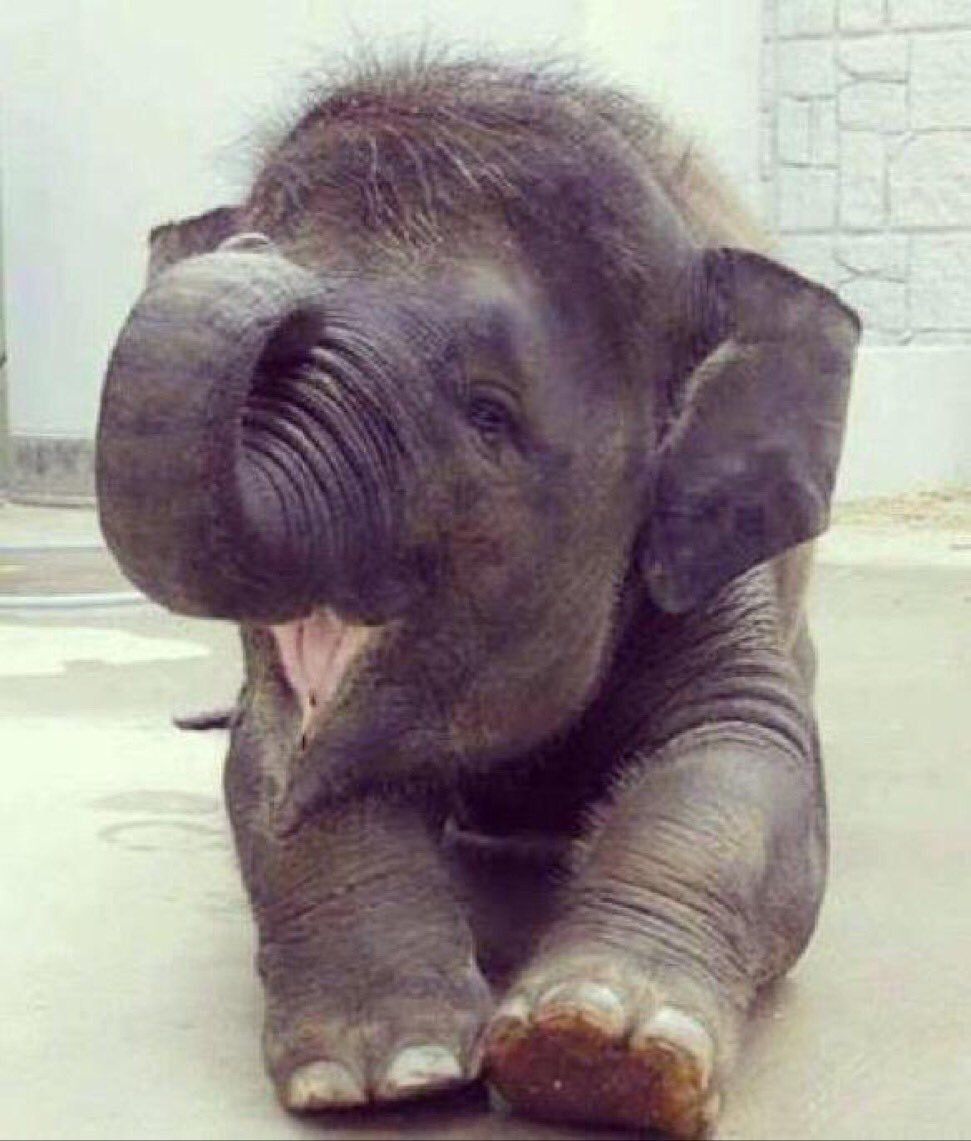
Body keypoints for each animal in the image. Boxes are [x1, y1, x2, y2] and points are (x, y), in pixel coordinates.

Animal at [96, 57, 860, 1139]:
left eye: (489, 414)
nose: (251, 251)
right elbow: (274, 767)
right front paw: (387, 1069)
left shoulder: (710, 571)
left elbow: (740, 757)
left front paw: (601, 1051)